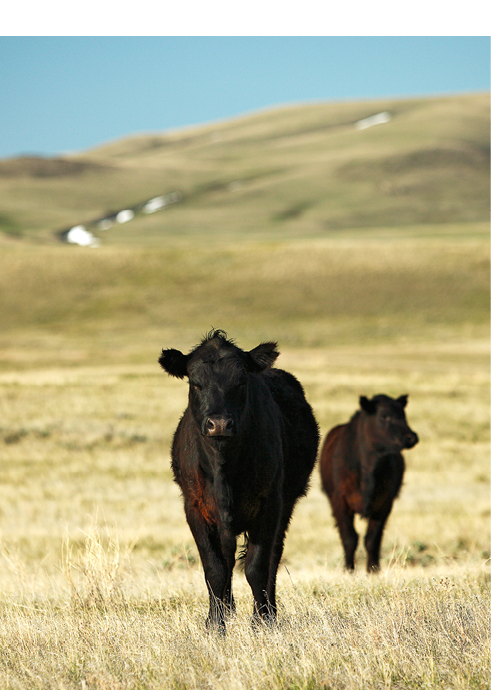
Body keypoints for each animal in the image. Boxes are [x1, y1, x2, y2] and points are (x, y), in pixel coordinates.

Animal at [159, 330, 319, 631]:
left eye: (241, 382)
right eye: (195, 382)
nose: (219, 424)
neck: (224, 471)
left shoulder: (270, 505)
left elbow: (257, 566)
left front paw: (262, 621)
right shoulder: (194, 507)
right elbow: (215, 568)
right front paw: (215, 623)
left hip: (286, 505)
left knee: (272, 557)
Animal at [320, 394, 418, 573]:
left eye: (403, 415)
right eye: (383, 416)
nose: (411, 437)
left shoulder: (384, 504)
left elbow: (372, 539)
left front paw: (373, 570)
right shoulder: (339, 501)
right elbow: (349, 537)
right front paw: (348, 570)